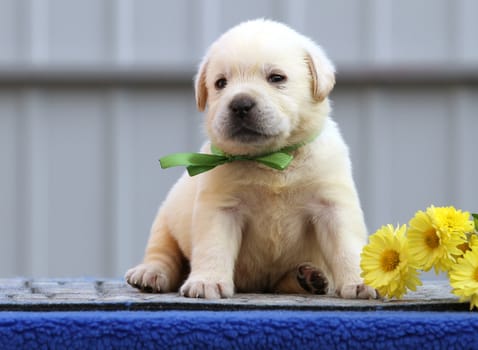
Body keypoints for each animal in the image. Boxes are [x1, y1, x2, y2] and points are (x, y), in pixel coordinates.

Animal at [124, 18, 378, 298]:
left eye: (276, 78)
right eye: (220, 83)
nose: (240, 104)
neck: (273, 159)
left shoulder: (332, 206)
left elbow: (347, 247)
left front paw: (360, 281)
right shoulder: (221, 209)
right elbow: (213, 248)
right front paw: (207, 281)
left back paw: (309, 278)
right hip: (165, 221)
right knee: (163, 254)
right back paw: (149, 273)